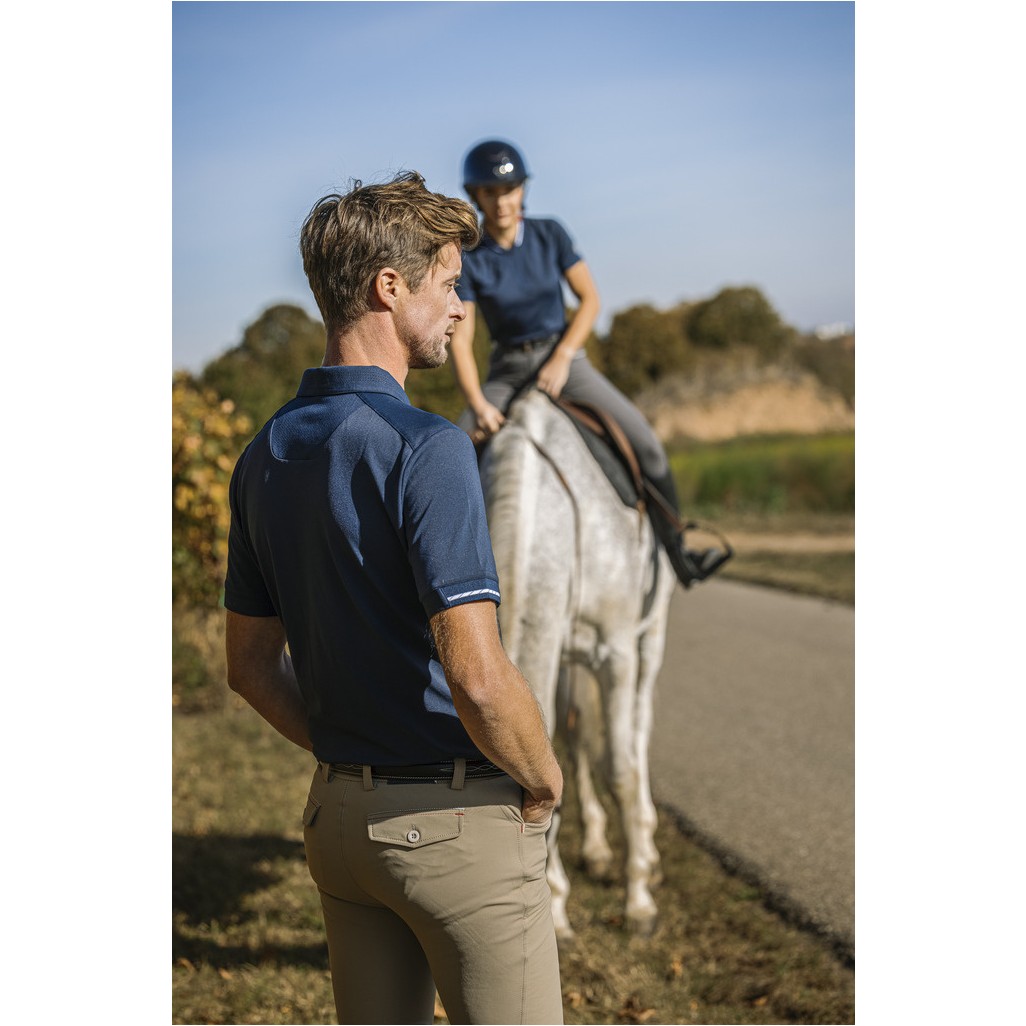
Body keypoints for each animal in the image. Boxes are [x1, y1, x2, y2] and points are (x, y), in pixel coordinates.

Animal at [478, 387, 677, 939]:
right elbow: (566, 751)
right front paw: (560, 900)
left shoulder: (616, 653)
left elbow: (621, 769)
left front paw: (638, 901)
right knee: (578, 730)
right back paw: (596, 846)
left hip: (649, 639)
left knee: (638, 734)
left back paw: (646, 848)